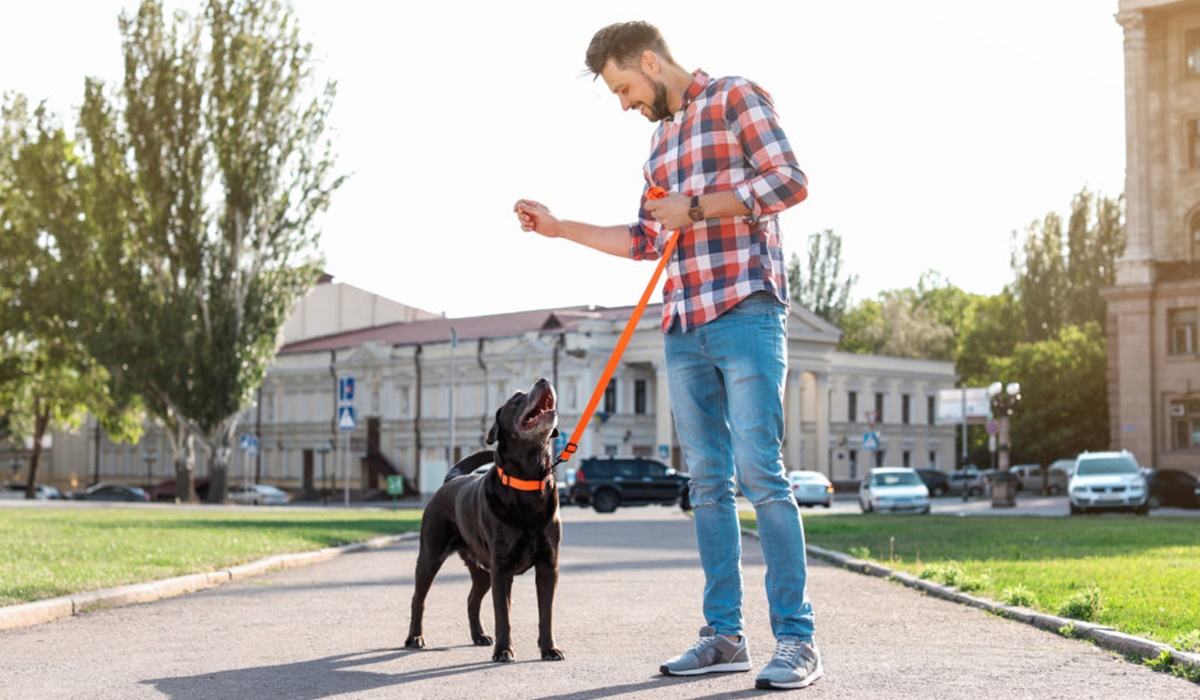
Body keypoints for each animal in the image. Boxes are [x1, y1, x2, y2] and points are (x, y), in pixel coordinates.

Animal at [405, 381, 564, 657]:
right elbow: (503, 614)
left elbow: (546, 613)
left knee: (472, 598)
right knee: (418, 598)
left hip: (481, 568)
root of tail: (451, 480)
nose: (543, 380)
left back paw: (479, 635)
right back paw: (415, 637)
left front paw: (549, 649)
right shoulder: (501, 567)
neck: (527, 483)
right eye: (516, 399)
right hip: (430, 555)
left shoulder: (548, 564)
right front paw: (504, 650)